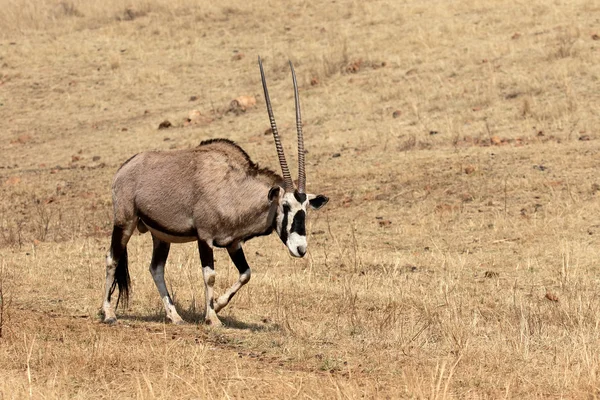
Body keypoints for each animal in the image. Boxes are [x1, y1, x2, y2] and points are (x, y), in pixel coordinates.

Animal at [103, 56, 328, 324]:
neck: (234, 190)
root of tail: (124, 168)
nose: (301, 249)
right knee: (112, 259)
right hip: (124, 223)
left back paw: (174, 316)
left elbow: (246, 273)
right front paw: (212, 317)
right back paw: (108, 313)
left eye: (306, 208)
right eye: (285, 206)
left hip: (160, 236)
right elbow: (209, 275)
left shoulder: (233, 242)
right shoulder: (205, 237)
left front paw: (218, 306)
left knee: (156, 268)